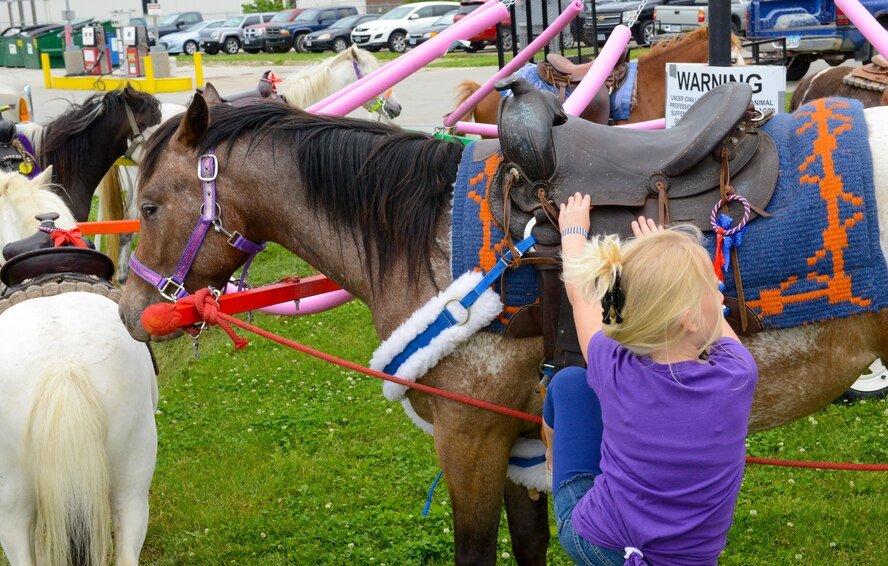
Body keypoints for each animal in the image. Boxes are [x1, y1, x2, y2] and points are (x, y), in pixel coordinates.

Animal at [121, 96, 888, 564]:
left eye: (150, 205)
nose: (131, 312)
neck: (423, 233)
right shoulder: (519, 437)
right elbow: (527, 544)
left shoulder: (471, 435)